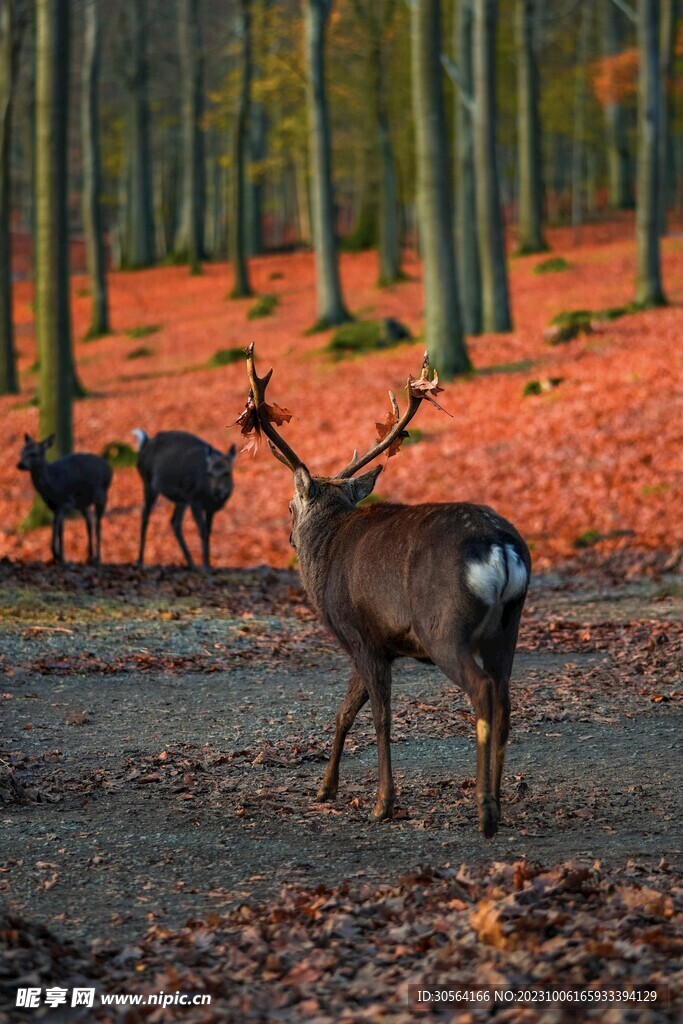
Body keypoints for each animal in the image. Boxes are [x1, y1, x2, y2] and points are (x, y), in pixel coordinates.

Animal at [17, 434, 113, 564]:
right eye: (21, 452)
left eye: (34, 454)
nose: (20, 464)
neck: (53, 484)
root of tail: (109, 468)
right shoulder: (54, 506)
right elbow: (57, 524)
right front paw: (58, 556)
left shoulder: (68, 501)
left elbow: (59, 524)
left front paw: (59, 555)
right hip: (83, 502)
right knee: (89, 522)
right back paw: (89, 556)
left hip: (102, 495)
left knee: (98, 524)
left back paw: (98, 558)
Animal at [132, 429, 237, 572]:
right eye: (209, 473)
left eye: (227, 473)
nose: (217, 491)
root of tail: (144, 444)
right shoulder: (194, 500)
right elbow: (203, 531)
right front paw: (206, 566)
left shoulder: (209, 508)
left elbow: (208, 531)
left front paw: (207, 564)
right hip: (148, 481)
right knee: (145, 517)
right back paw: (140, 561)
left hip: (181, 498)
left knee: (174, 522)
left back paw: (191, 563)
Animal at [239, 344, 531, 838]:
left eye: (289, 505)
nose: (289, 537)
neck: (326, 554)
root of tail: (500, 546)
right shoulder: (378, 642)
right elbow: (344, 710)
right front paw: (325, 789)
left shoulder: (356, 631)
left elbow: (379, 717)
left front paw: (382, 803)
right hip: (508, 626)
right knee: (507, 698)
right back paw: (499, 804)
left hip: (444, 627)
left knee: (483, 691)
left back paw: (485, 812)